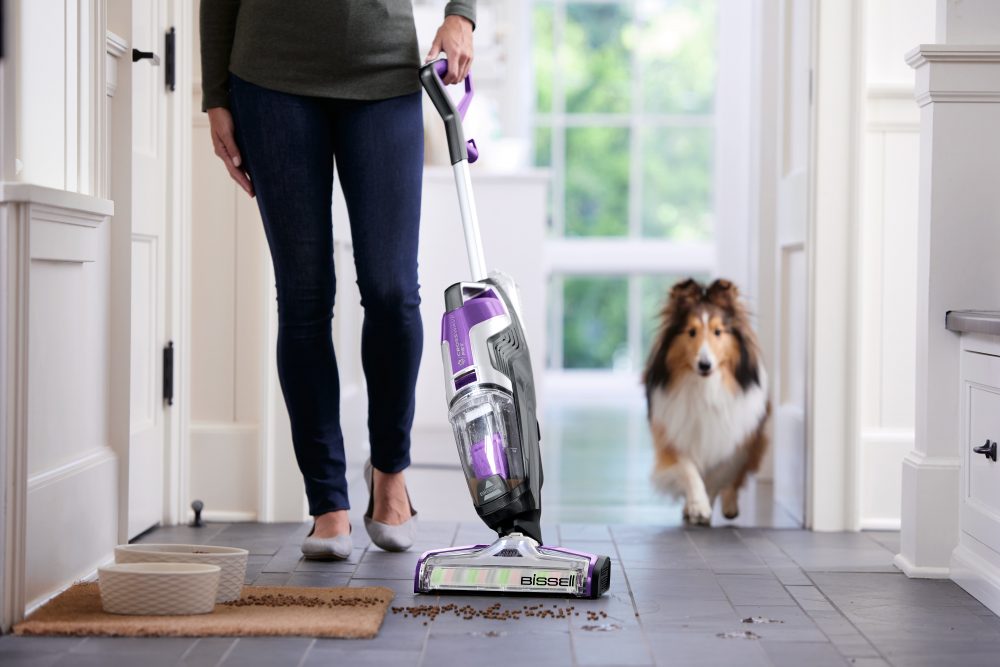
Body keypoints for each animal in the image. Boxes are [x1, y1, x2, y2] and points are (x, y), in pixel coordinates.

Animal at [640, 278, 772, 528]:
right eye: (691, 332)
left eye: (718, 332)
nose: (704, 365)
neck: (706, 388)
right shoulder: (674, 435)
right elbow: (689, 470)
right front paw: (698, 506)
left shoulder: (735, 440)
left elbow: (719, 476)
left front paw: (705, 505)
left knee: (735, 479)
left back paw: (729, 507)